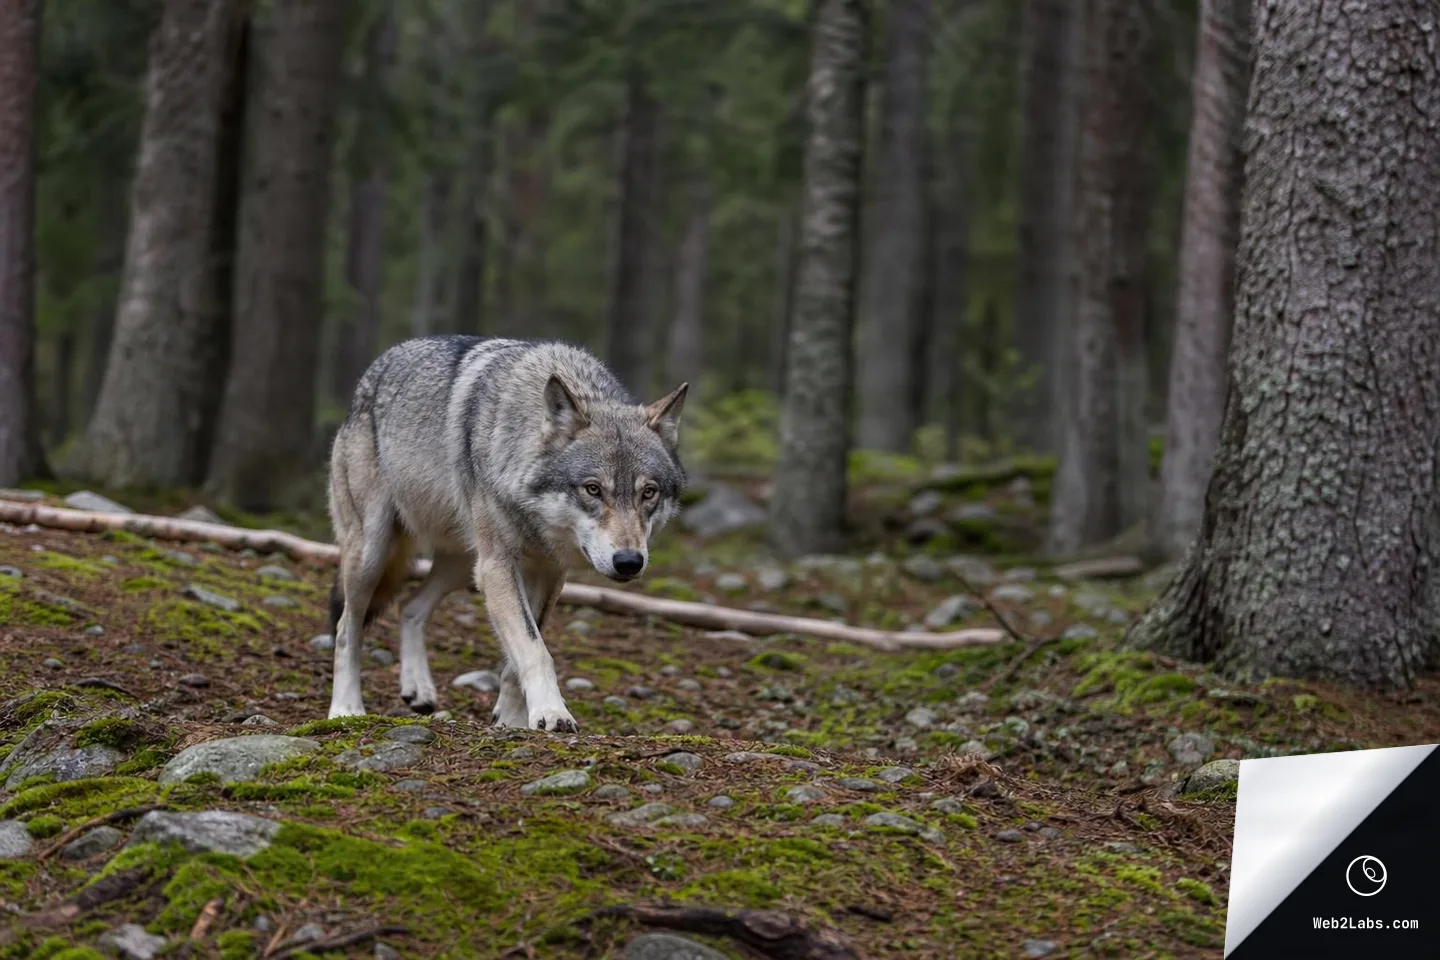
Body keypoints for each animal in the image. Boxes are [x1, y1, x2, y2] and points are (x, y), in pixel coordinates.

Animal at [324, 336, 688, 730]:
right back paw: (345, 708)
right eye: (593, 489)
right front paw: (553, 712)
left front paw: (513, 720)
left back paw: (418, 689)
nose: (629, 562)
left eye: (648, 493)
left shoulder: (548, 572)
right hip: (374, 554)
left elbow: (522, 654)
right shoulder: (498, 566)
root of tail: (380, 364)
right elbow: (534, 648)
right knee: (346, 627)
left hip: (463, 567)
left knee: (410, 606)